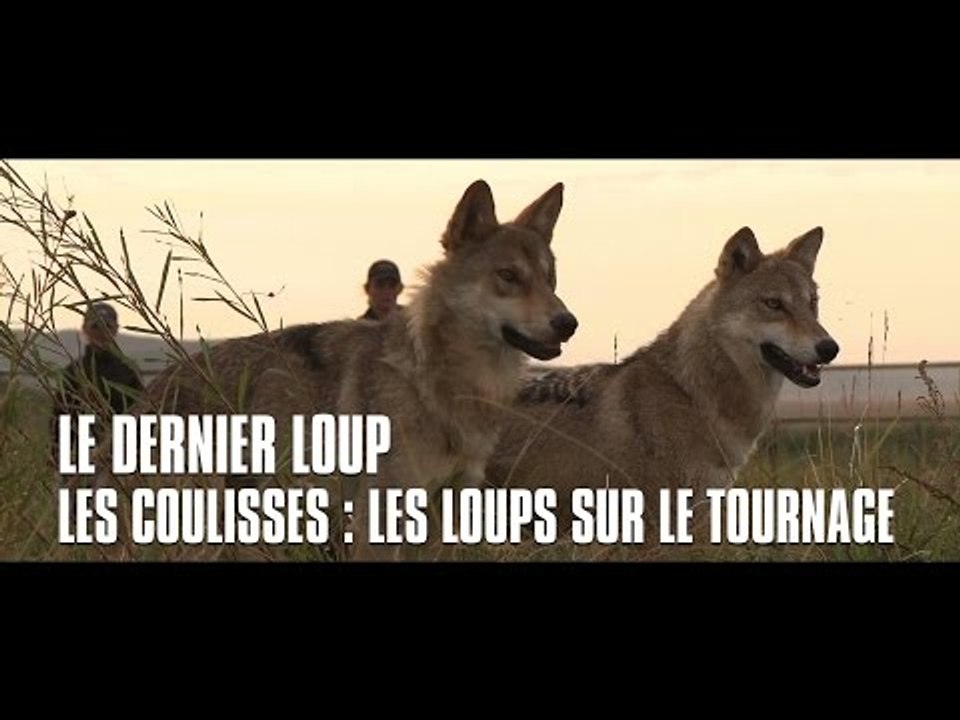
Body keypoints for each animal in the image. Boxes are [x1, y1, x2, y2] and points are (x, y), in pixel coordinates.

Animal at [119, 179, 578, 559]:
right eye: (508, 276)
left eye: (550, 278)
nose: (569, 323)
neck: (441, 381)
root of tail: (148, 396)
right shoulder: (379, 518)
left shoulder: (439, 519)